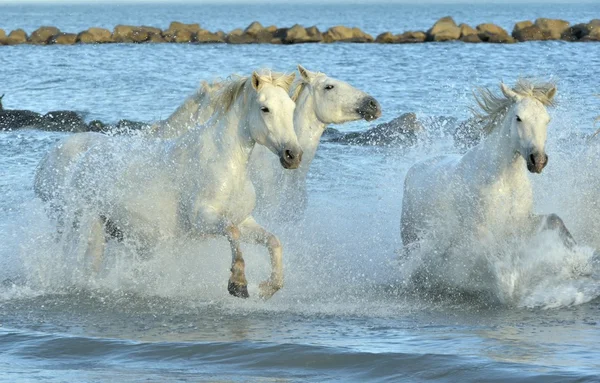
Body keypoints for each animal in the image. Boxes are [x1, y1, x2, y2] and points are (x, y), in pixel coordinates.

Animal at [35, 71, 302, 300]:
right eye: (265, 108)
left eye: (291, 108)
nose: (293, 155)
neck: (227, 165)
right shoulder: (203, 219)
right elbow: (232, 233)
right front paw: (238, 284)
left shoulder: (243, 219)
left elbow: (273, 241)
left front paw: (269, 287)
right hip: (89, 226)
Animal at [400, 79, 576, 250]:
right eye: (518, 118)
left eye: (547, 120)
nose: (538, 161)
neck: (504, 180)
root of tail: (412, 169)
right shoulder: (482, 231)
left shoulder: (521, 223)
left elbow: (555, 219)